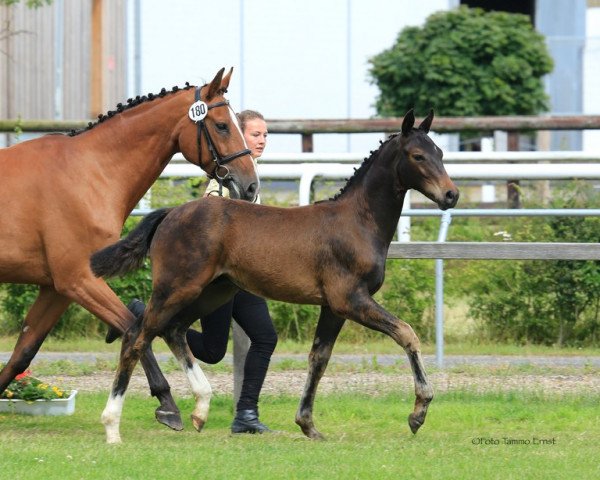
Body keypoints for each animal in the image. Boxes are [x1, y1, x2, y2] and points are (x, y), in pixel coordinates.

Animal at [91, 109, 460, 442]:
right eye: (417, 156)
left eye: (441, 153)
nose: (451, 194)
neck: (358, 221)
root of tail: (171, 213)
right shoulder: (350, 299)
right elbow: (406, 333)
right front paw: (418, 412)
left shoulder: (333, 307)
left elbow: (319, 358)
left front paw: (308, 425)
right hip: (177, 288)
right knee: (137, 336)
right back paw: (112, 426)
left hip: (212, 292)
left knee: (173, 330)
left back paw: (199, 410)